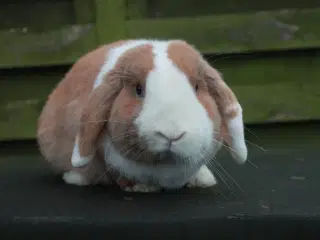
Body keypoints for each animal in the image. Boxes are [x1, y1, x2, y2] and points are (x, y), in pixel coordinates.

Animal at [37, 39, 248, 193]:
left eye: (196, 87)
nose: (171, 134)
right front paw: (142, 187)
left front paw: (203, 180)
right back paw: (76, 178)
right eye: (139, 89)